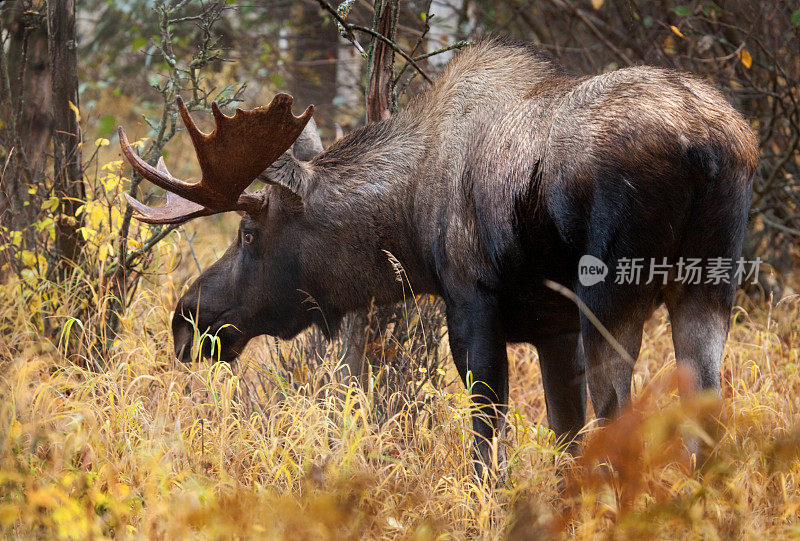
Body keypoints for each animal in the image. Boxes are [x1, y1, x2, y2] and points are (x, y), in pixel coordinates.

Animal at [117, 38, 756, 468]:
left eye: (250, 234)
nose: (186, 319)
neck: (410, 219)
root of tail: (704, 147)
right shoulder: (553, 329)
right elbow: (564, 435)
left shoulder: (471, 303)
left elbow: (486, 439)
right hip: (708, 285)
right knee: (706, 411)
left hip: (612, 293)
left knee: (621, 413)